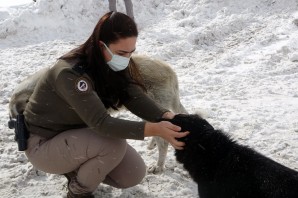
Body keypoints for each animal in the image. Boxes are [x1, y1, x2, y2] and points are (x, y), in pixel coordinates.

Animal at [8, 54, 186, 173]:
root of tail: (170, 71)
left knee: (164, 141)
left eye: (16, 118)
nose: (17, 137)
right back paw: (152, 145)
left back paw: (158, 165)